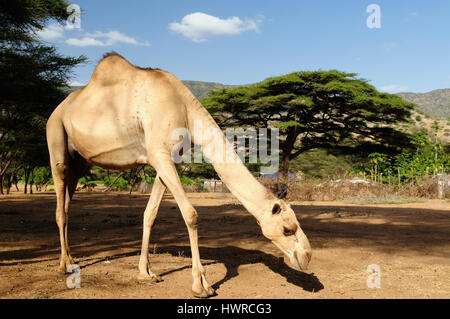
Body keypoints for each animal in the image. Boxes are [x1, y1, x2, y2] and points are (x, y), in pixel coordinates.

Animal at [46, 52, 312, 298]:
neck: (185, 108)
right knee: (60, 208)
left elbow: (150, 214)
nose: (307, 257)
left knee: (67, 203)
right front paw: (201, 285)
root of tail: (56, 111)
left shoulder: (167, 157)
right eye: (287, 229)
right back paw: (64, 265)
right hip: (56, 140)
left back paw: (72, 258)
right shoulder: (159, 153)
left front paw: (146, 273)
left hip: (79, 163)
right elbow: (191, 214)